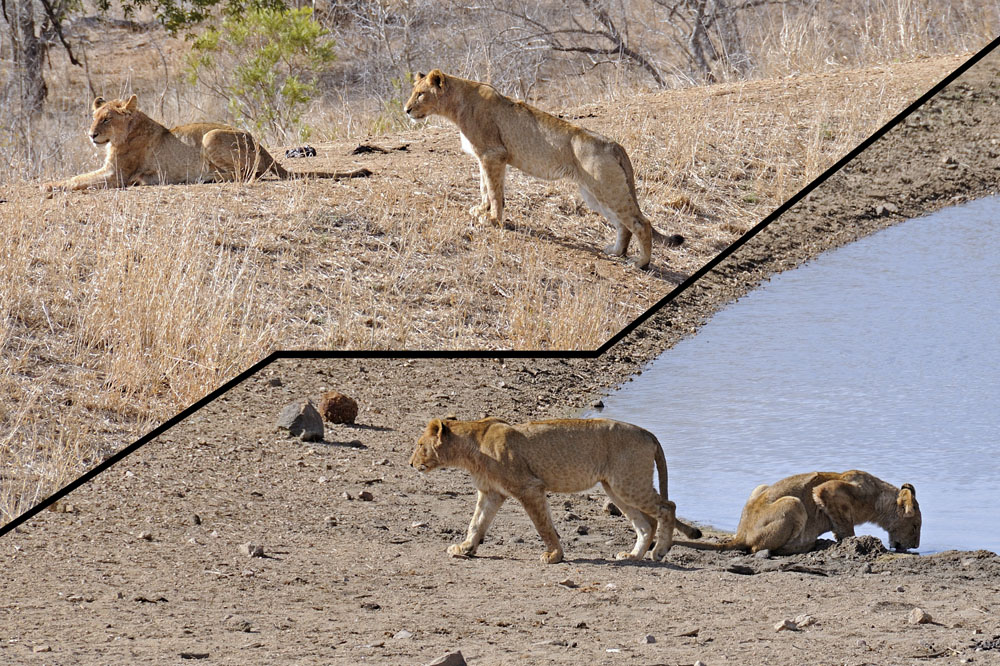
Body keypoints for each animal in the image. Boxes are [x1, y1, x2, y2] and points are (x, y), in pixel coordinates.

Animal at [42, 95, 371, 191]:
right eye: (94, 117)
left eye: (107, 119)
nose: (91, 134)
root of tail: (264, 149)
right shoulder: (114, 172)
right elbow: (80, 177)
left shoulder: (117, 175)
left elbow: (78, 179)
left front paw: (49, 185)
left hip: (211, 136)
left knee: (246, 175)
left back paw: (207, 177)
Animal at [403, 70, 684, 269]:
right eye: (414, 92)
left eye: (420, 94)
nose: (406, 110)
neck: (456, 105)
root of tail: (615, 144)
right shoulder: (484, 157)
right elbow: (485, 188)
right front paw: (481, 211)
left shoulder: (494, 154)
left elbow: (494, 190)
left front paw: (493, 220)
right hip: (594, 193)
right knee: (622, 225)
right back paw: (616, 252)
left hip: (607, 188)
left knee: (641, 223)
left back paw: (640, 263)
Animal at [409, 416, 702, 564]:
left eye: (420, 445)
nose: (410, 464)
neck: (473, 446)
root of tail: (649, 433)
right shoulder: (492, 492)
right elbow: (476, 522)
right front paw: (466, 547)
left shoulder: (529, 487)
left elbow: (543, 526)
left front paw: (554, 555)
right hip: (615, 487)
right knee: (646, 522)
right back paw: (633, 555)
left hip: (627, 482)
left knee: (667, 507)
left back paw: (659, 552)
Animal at [677, 470, 921, 555]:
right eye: (916, 526)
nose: (917, 546)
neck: (877, 497)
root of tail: (741, 533)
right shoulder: (829, 490)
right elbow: (847, 529)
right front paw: (854, 543)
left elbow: (840, 526)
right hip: (793, 503)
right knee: (757, 548)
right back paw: (806, 545)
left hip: (760, 486)